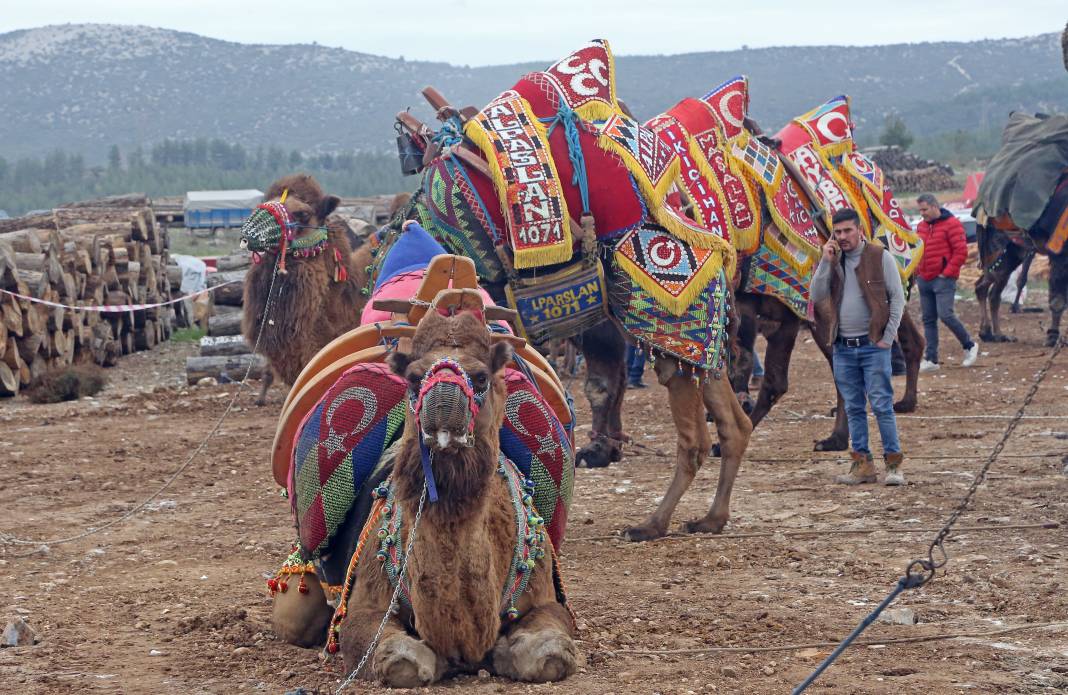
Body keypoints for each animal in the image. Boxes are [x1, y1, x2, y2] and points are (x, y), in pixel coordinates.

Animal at [333, 311, 580, 691]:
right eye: (413, 378)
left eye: (480, 377)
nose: (443, 405)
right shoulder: (366, 604)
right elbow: (398, 659)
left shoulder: (545, 599)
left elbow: (551, 654)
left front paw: (504, 651)